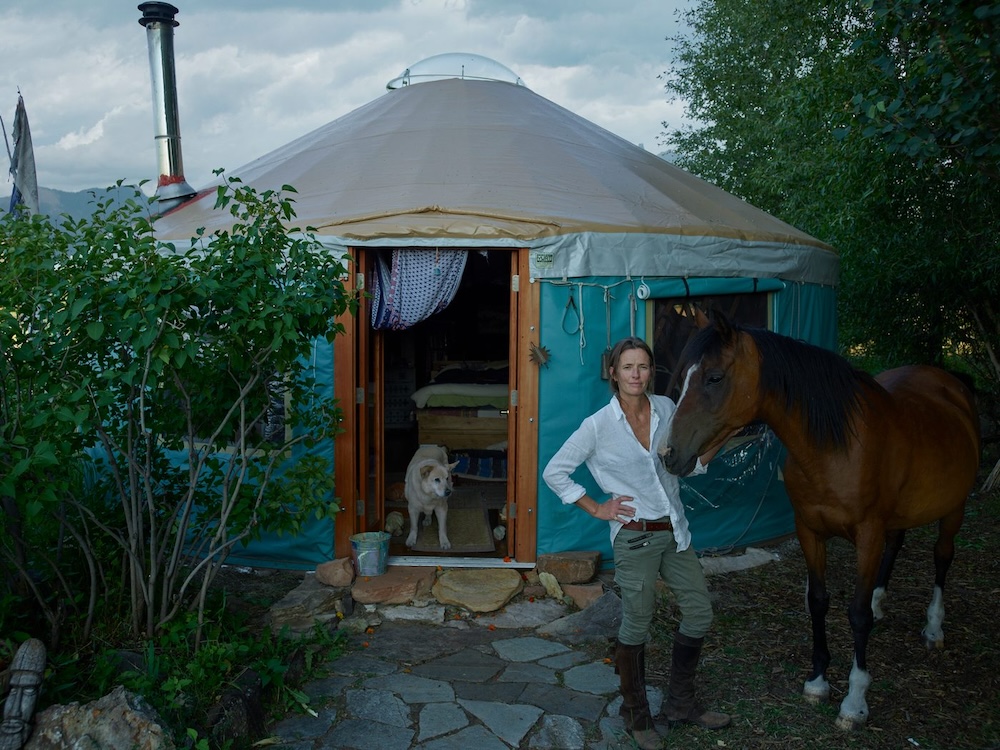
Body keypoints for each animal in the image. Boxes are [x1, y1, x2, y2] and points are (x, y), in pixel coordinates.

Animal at [660, 308, 980, 732]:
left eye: (714, 377)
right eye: (681, 378)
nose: (668, 453)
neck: (835, 446)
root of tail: (952, 384)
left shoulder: (868, 535)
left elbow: (856, 615)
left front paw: (854, 701)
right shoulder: (809, 530)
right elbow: (817, 601)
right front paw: (817, 681)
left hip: (954, 509)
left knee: (942, 558)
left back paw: (933, 626)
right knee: (897, 544)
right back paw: (881, 600)